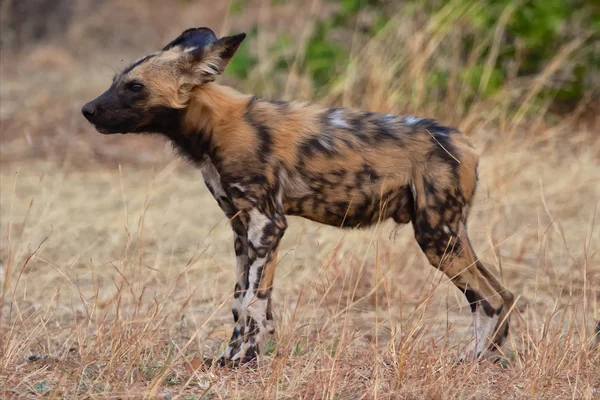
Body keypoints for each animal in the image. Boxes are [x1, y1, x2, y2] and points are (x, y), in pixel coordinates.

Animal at [81, 27, 516, 366]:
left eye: (135, 87)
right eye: (116, 80)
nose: (86, 110)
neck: (212, 126)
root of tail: (464, 141)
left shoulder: (267, 225)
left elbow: (253, 303)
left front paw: (243, 362)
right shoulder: (242, 230)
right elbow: (241, 302)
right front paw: (230, 358)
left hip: (436, 237)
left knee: (490, 298)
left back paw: (474, 362)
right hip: (449, 237)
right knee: (503, 294)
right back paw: (486, 359)